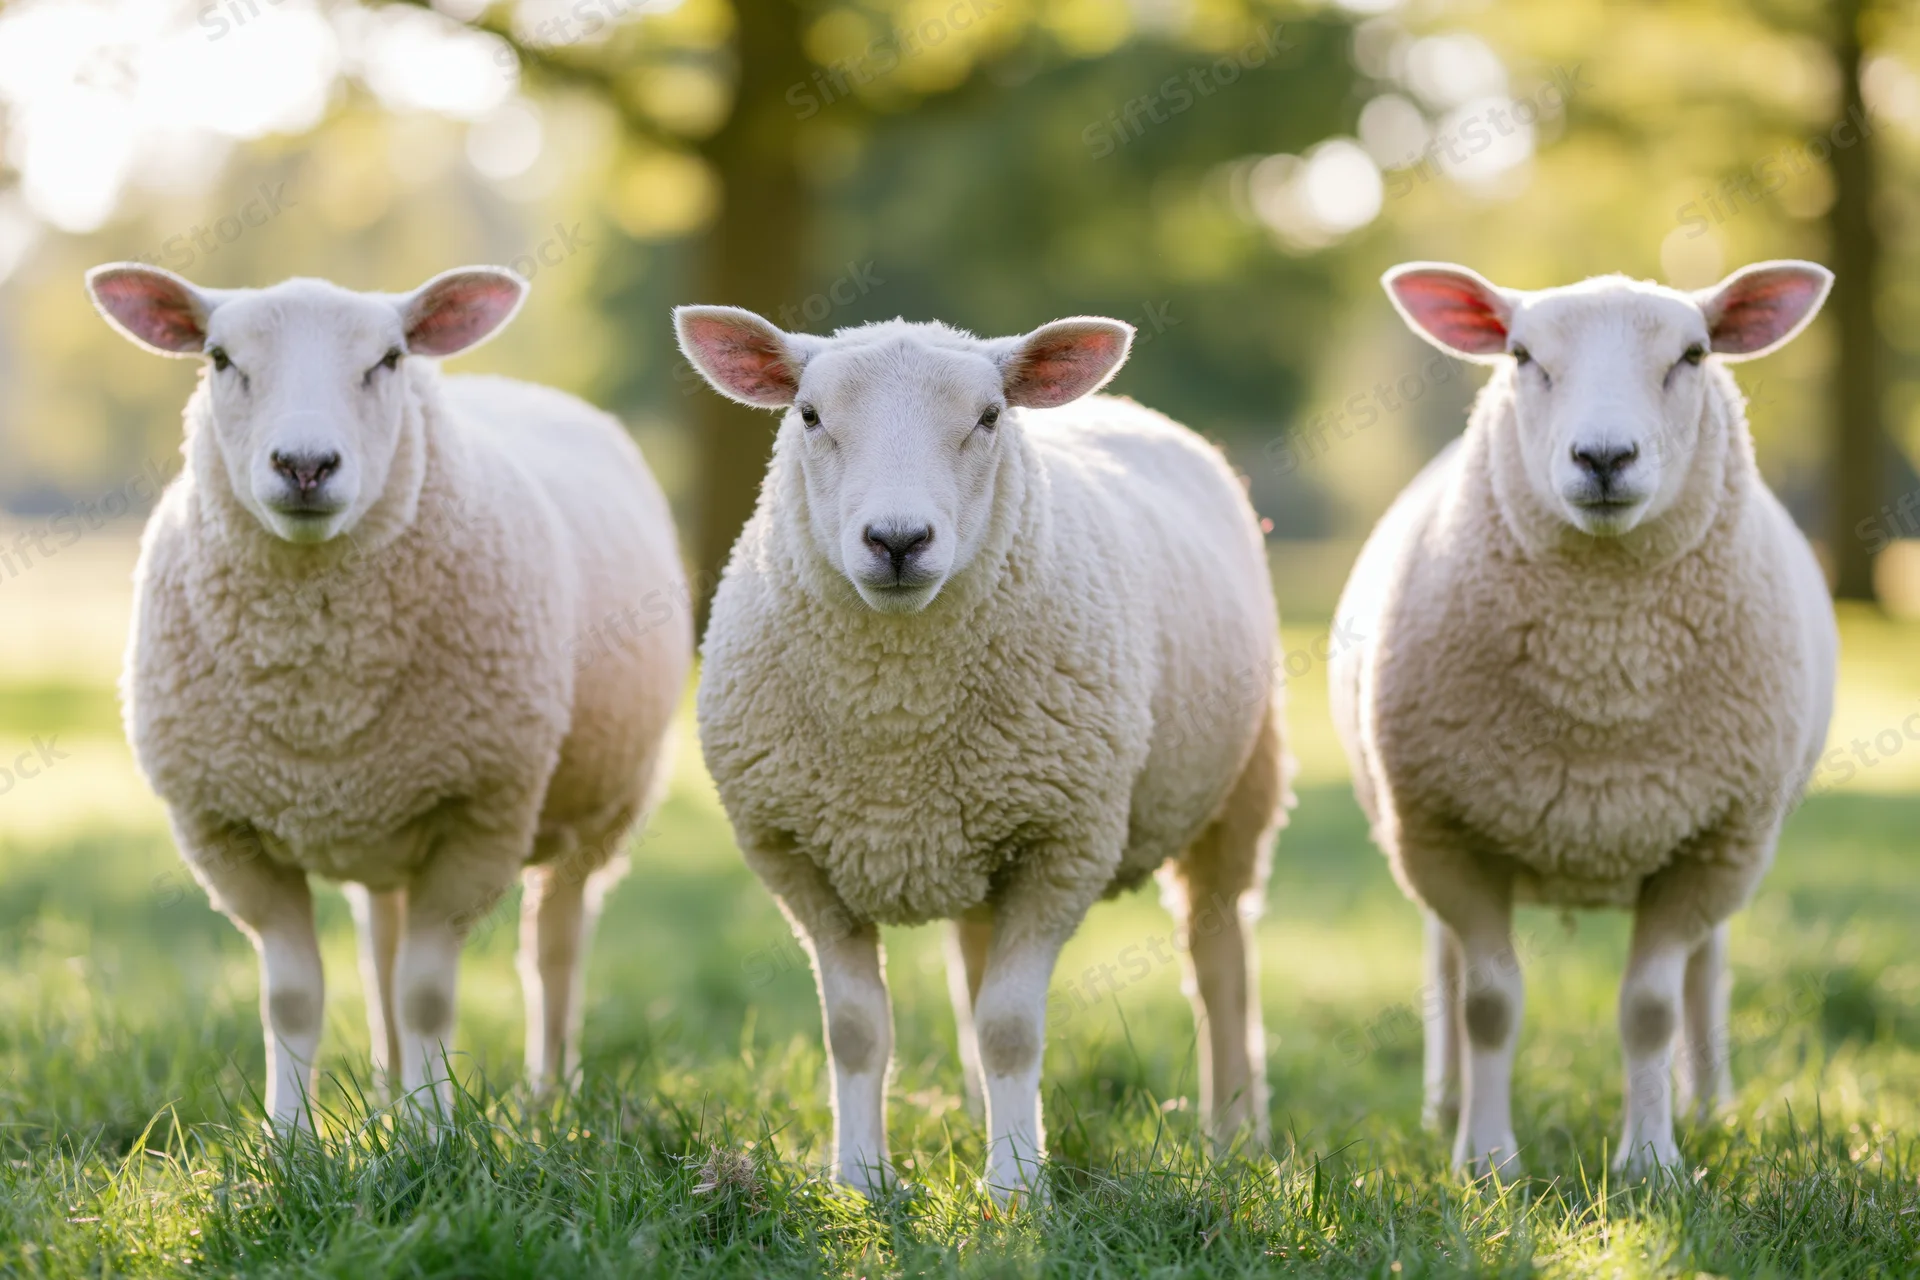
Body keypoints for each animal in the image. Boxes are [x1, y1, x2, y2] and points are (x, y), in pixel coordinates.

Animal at [86, 263, 692, 1127]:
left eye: (390, 359)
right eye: (219, 358)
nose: (305, 465)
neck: (320, 696)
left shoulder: (479, 814)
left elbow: (428, 993)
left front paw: (435, 1131)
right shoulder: (224, 829)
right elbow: (295, 998)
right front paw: (290, 1137)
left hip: (600, 810)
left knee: (554, 948)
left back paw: (547, 1096)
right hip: (381, 817)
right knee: (381, 951)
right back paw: (386, 1096)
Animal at [676, 306, 1293, 1203]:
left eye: (990, 417)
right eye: (809, 416)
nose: (898, 539)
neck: (897, 719)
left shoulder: (1063, 845)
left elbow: (1009, 1027)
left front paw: (1015, 1188)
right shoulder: (800, 860)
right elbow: (856, 1031)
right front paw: (860, 1181)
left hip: (1241, 788)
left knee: (1220, 961)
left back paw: (1236, 1134)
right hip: (973, 833)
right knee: (973, 960)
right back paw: (981, 1115)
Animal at [1330, 260, 1838, 1177]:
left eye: (1695, 354)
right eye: (1521, 355)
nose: (1604, 457)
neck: (1602, 681)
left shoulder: (1711, 842)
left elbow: (1651, 1007)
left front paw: (1652, 1163)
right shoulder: (1446, 833)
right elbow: (1488, 1001)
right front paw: (1485, 1160)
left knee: (1707, 968)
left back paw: (1709, 1103)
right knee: (1445, 961)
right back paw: (1446, 1103)